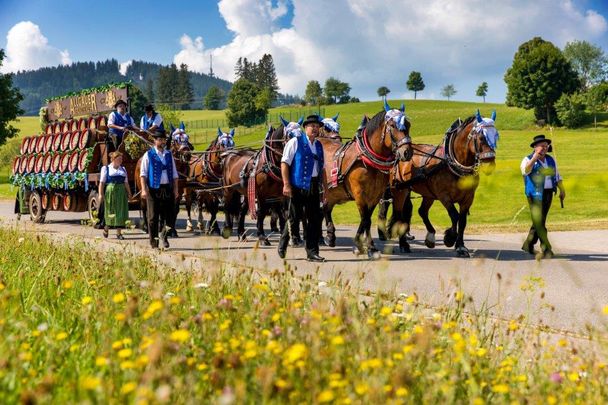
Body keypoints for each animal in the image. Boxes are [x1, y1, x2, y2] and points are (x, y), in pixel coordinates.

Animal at [318, 102, 414, 258]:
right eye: (392, 125)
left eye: (408, 124)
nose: (407, 152)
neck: (367, 159)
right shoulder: (360, 194)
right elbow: (365, 219)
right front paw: (360, 245)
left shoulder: (375, 195)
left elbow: (367, 218)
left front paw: (370, 247)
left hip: (333, 192)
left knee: (326, 208)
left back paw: (330, 236)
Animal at [382, 110, 496, 256]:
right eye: (481, 138)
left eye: (496, 136)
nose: (489, 165)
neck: (452, 163)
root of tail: (397, 154)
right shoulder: (444, 195)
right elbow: (454, 216)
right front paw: (450, 238)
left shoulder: (468, 198)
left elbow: (462, 221)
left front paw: (461, 246)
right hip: (399, 190)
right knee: (399, 214)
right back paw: (403, 244)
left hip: (426, 193)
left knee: (420, 211)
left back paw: (429, 236)